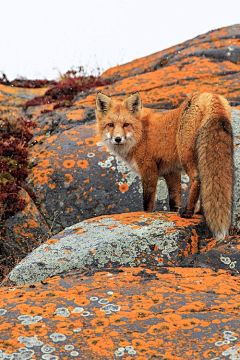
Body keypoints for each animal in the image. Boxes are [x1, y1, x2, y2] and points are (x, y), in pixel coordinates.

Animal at [95, 92, 232, 242]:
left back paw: (188, 212)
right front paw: (173, 216)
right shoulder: (171, 172)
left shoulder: (148, 169)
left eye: (126, 124)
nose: (118, 139)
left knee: (197, 179)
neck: (141, 133)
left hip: (185, 154)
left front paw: (147, 215)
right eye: (110, 125)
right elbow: (174, 201)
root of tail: (208, 95)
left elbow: (148, 203)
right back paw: (200, 212)